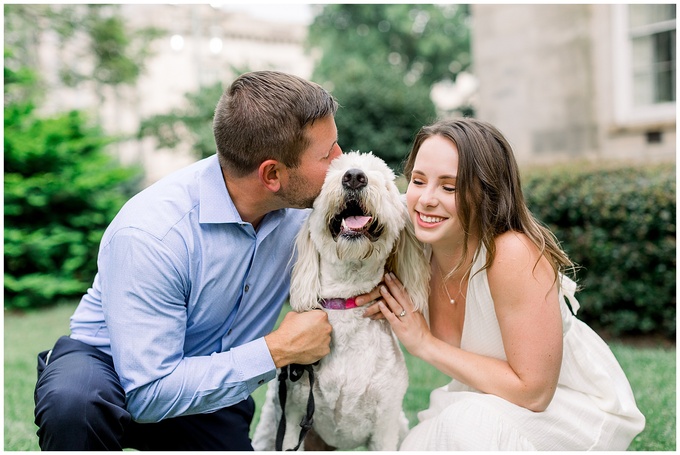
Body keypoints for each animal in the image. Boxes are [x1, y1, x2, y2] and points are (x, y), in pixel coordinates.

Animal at [252, 151, 428, 450]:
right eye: (330, 176)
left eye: (386, 184)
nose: (354, 177)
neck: (346, 296)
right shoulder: (291, 418)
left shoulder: (385, 425)